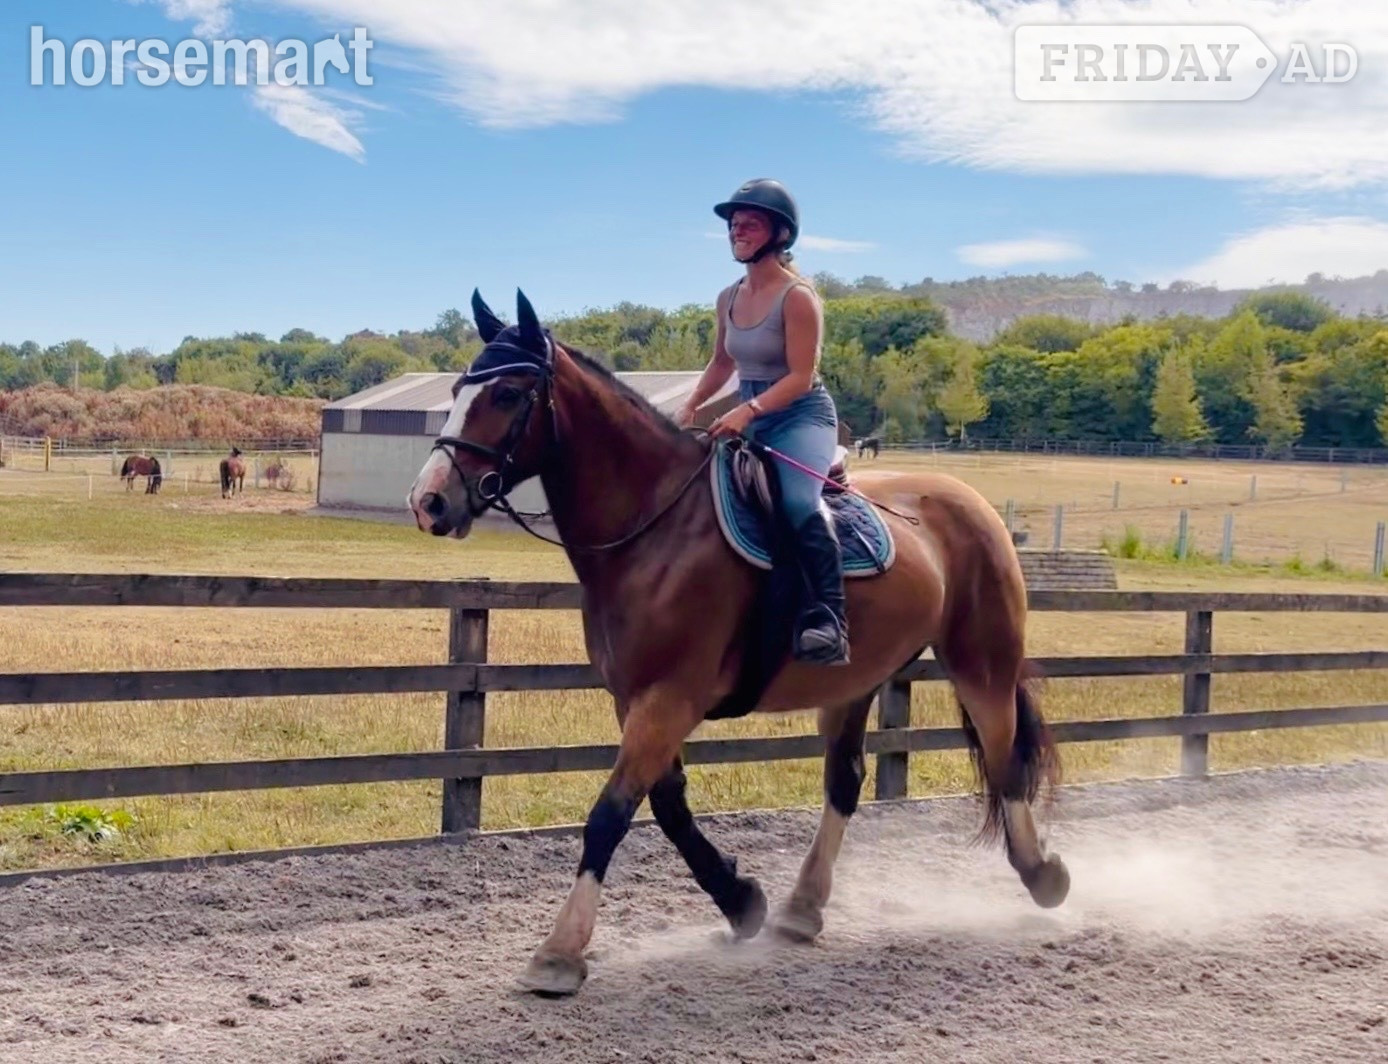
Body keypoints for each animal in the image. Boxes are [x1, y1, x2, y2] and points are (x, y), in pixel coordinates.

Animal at [407, 290, 1069, 997]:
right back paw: (802, 909)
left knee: (1005, 762)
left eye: (507, 393)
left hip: (981, 663)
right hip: (855, 681)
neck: (656, 527)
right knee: (845, 782)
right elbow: (667, 807)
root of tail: (972, 502)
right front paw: (741, 899)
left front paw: (560, 952)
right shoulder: (637, 700)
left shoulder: (670, 698)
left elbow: (610, 814)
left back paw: (1043, 876)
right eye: (457, 391)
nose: (429, 502)